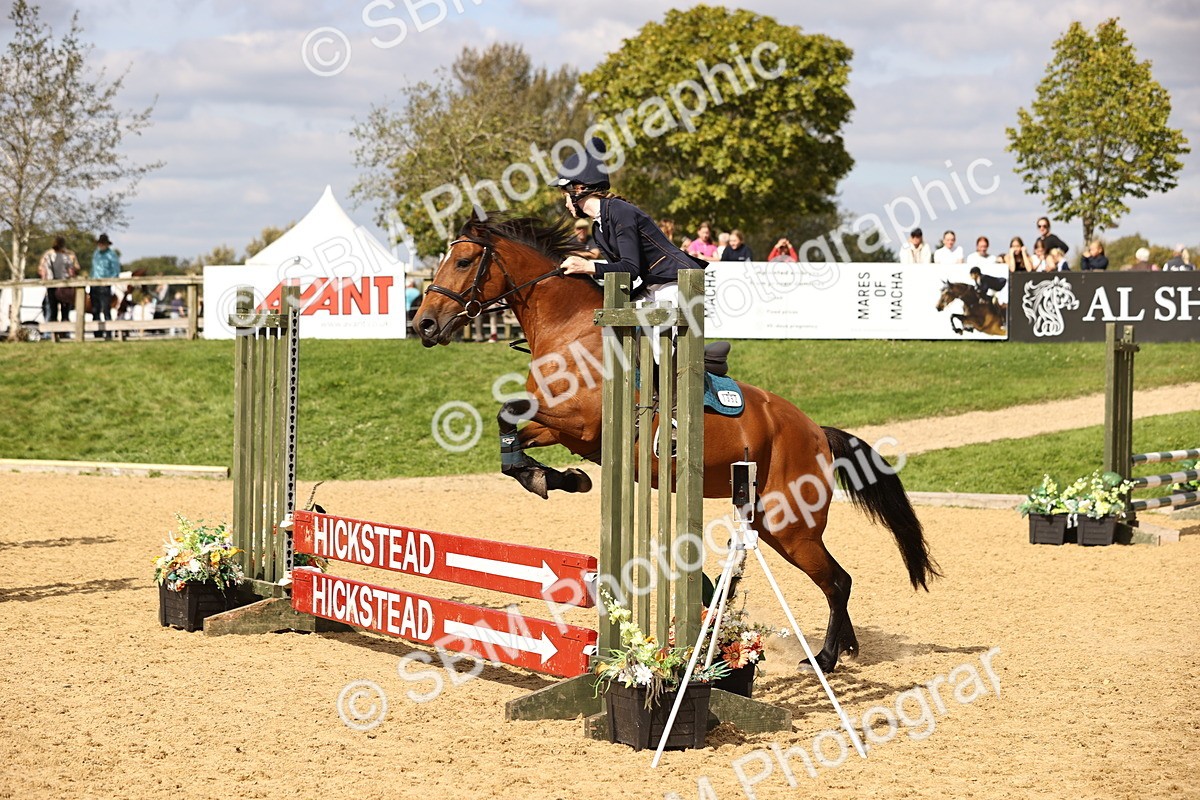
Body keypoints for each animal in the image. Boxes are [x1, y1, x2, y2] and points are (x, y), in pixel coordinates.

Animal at [414, 214, 940, 672]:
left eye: (464, 261)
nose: (422, 325)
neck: (571, 329)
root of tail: (817, 432)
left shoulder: (581, 424)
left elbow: (507, 413)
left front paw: (554, 478)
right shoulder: (560, 429)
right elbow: (512, 437)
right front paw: (556, 478)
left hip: (790, 524)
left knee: (836, 580)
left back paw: (826, 658)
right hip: (770, 520)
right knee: (834, 578)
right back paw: (845, 648)